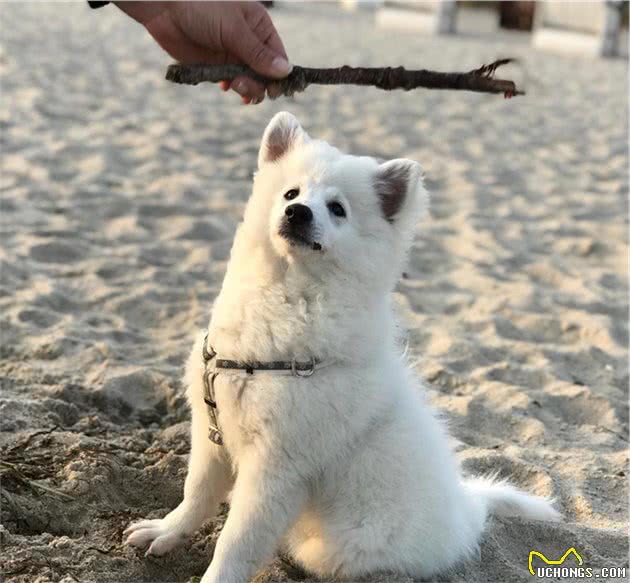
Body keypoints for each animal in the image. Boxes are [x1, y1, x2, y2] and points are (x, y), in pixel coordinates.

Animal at [126, 112, 560, 580]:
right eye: (291, 192)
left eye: (338, 208)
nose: (297, 212)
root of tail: (467, 513)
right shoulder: (212, 433)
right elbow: (196, 494)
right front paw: (166, 531)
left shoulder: (277, 468)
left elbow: (237, 541)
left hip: (337, 548)